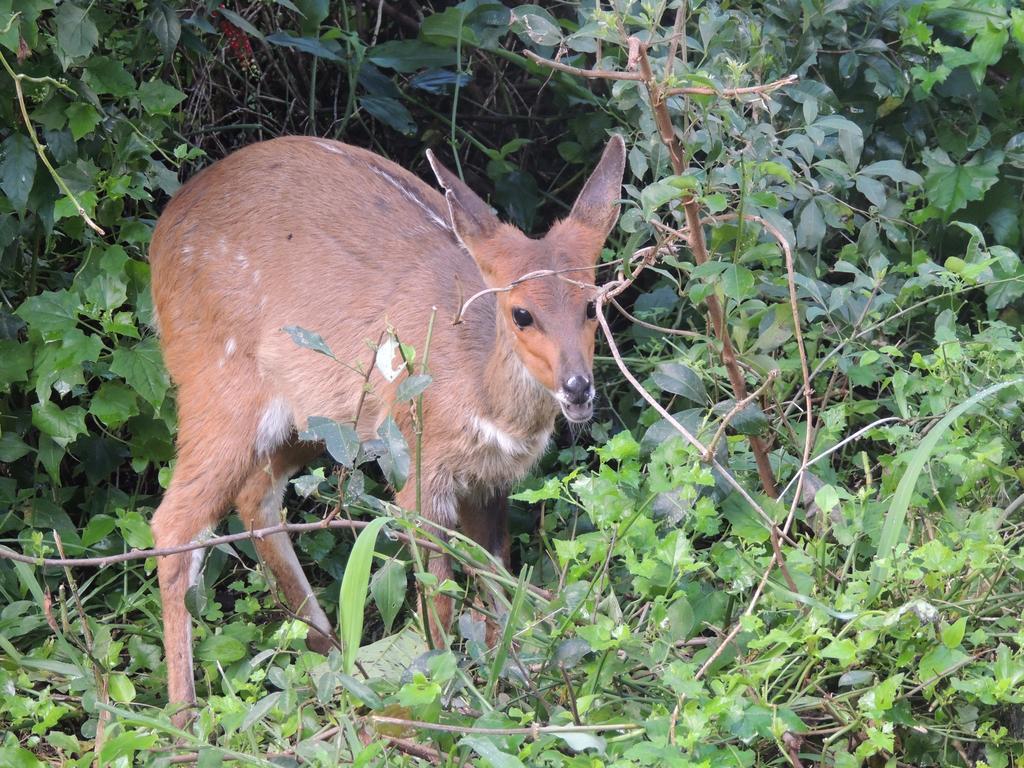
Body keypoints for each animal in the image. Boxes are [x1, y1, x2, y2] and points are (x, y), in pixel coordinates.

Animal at [145, 134, 622, 720]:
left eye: (592, 305)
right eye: (522, 313)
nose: (578, 389)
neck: (479, 386)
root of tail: (161, 233)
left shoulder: (489, 483)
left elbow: (496, 574)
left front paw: (515, 680)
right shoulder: (420, 473)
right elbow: (440, 593)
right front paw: (442, 700)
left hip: (316, 424)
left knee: (255, 494)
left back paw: (332, 653)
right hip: (220, 392)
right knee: (175, 523)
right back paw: (184, 718)